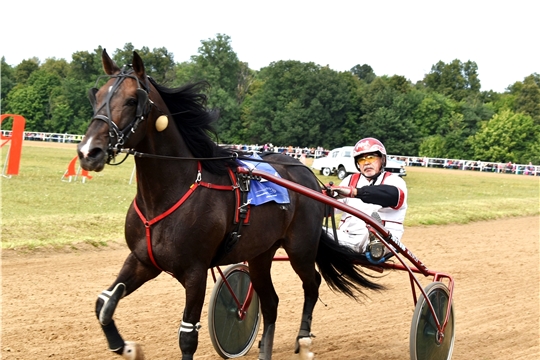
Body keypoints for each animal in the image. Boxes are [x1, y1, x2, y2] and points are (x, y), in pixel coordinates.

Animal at [77, 50, 384, 360]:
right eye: (97, 96)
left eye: (131, 100)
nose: (89, 152)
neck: (166, 196)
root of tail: (308, 174)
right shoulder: (143, 261)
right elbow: (103, 304)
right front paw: (124, 346)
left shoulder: (195, 272)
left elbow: (187, 337)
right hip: (260, 253)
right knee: (271, 302)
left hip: (301, 249)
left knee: (312, 285)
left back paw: (305, 339)